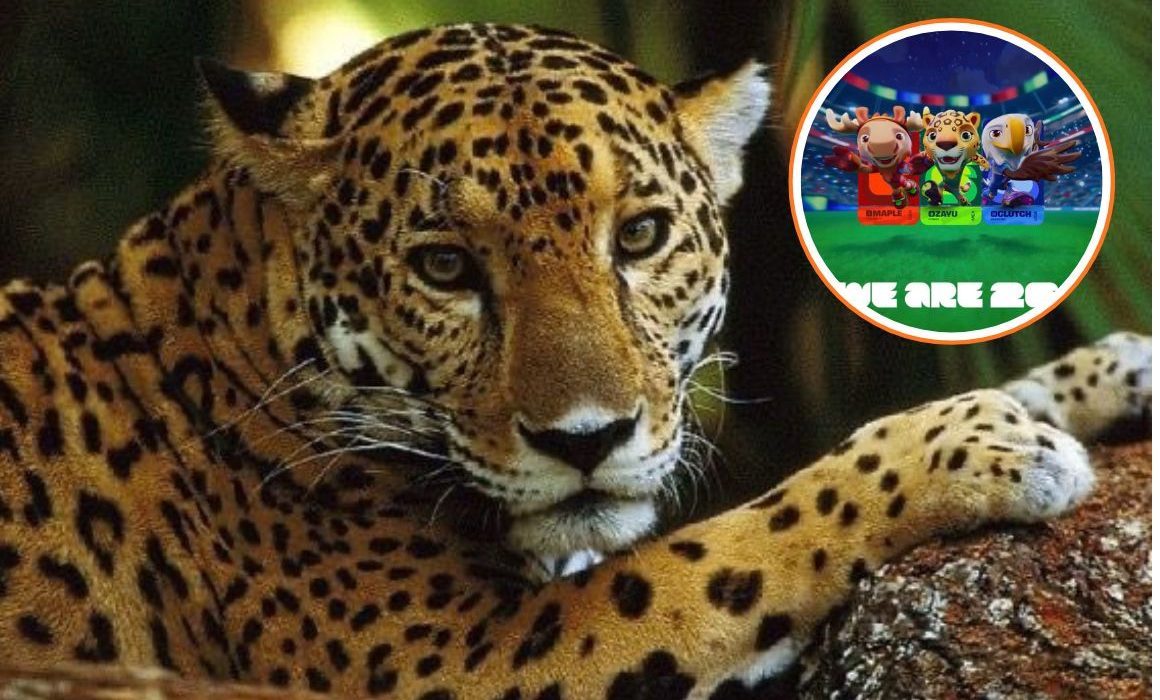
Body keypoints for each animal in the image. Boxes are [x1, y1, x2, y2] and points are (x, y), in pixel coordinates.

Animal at [0, 22, 1150, 699]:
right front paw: (969, 448)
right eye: (444, 266)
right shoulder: (448, 658)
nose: (585, 440)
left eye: (638, 237)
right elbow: (757, 534)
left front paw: (1099, 376)